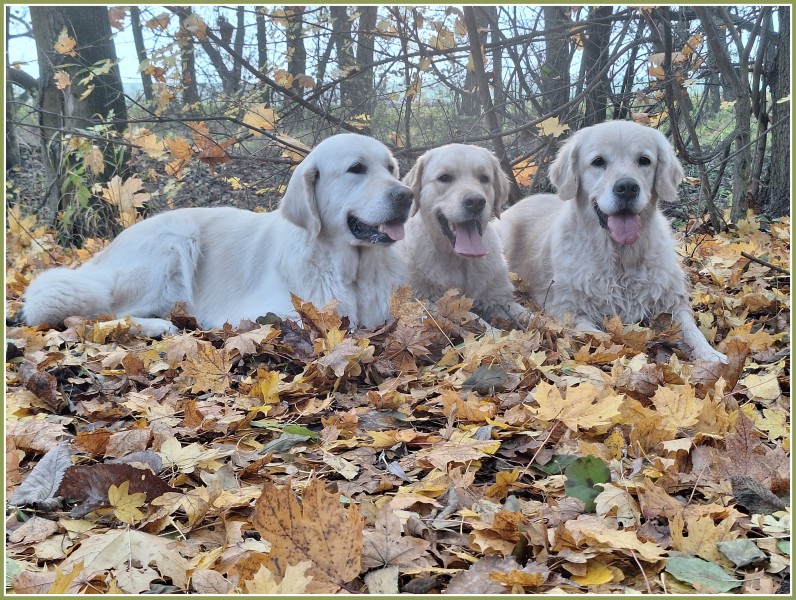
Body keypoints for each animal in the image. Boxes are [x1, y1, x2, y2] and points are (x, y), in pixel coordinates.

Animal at [22, 134, 413, 336]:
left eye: (391, 168)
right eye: (356, 169)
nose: (407, 195)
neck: (349, 269)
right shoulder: (271, 312)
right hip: (174, 239)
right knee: (104, 315)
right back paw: (158, 326)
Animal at [400, 144, 530, 326]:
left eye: (484, 178)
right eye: (444, 177)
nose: (476, 202)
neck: (457, 259)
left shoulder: (498, 298)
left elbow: (530, 316)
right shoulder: (425, 301)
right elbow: (479, 322)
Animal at [498, 120, 727, 362]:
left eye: (644, 160)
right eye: (598, 161)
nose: (627, 188)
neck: (620, 258)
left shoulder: (672, 300)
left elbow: (692, 330)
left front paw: (711, 354)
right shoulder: (566, 307)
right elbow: (599, 337)